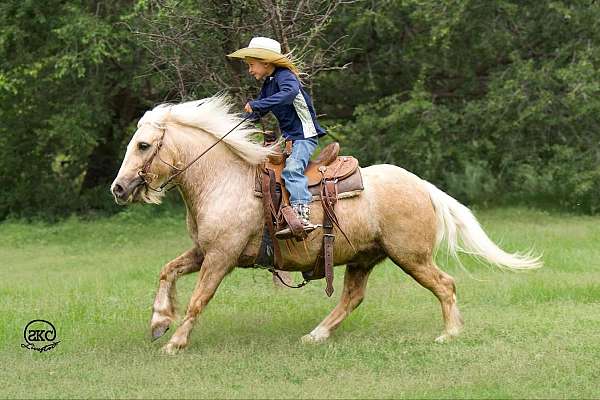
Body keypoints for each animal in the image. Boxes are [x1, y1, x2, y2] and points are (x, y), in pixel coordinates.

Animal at [110, 95, 540, 354]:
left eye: (143, 146)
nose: (119, 188)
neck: (222, 180)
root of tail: (422, 185)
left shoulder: (221, 256)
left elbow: (199, 298)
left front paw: (175, 342)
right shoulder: (204, 251)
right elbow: (167, 271)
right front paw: (159, 322)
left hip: (411, 256)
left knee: (445, 285)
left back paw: (449, 333)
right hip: (364, 258)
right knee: (353, 297)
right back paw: (317, 334)